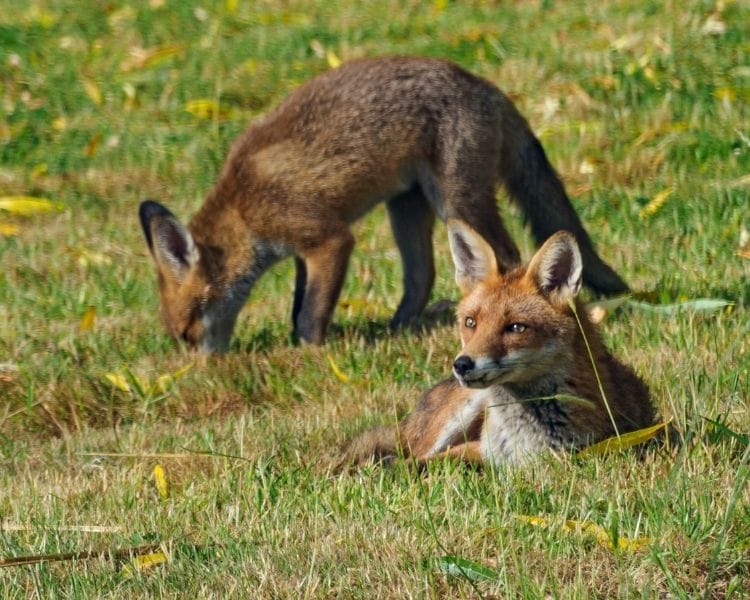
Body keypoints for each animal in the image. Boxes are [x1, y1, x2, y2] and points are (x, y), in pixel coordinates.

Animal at [138, 56, 628, 353]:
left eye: (188, 333)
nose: (206, 370)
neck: (242, 207)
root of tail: (485, 85)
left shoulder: (328, 239)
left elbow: (309, 315)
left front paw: (309, 354)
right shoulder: (303, 253)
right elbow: (299, 304)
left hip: (457, 199)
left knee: (505, 257)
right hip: (405, 207)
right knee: (421, 275)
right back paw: (400, 329)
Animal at [339, 221, 655, 468]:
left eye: (516, 327)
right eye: (471, 323)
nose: (462, 364)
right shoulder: (478, 451)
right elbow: (422, 463)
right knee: (411, 453)